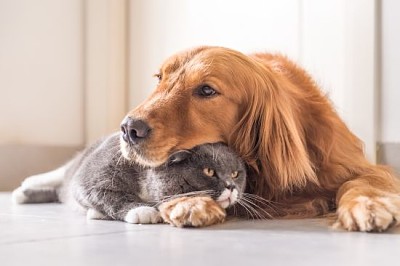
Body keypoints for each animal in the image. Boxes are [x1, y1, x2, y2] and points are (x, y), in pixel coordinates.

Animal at [12, 133, 245, 224]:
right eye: (209, 171)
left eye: (236, 174)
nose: (231, 186)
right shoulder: (90, 179)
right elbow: (112, 196)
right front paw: (142, 211)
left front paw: (95, 213)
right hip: (77, 165)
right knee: (60, 175)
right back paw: (23, 188)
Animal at [120, 45, 400, 231]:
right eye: (159, 78)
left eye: (207, 90)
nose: (129, 128)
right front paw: (189, 201)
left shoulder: (353, 163)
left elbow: (363, 181)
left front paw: (369, 203)